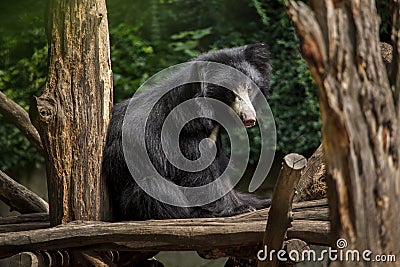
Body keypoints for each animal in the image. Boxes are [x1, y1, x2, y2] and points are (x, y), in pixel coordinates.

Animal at [101, 43, 274, 222]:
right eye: (229, 93)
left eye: (249, 88)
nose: (249, 119)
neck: (210, 113)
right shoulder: (184, 134)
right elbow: (198, 172)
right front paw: (237, 209)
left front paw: (253, 203)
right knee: (157, 189)